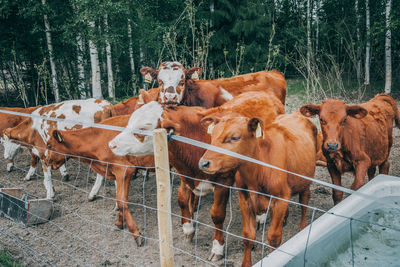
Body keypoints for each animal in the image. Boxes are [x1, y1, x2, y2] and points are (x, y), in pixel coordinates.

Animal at [44, 115, 154, 247]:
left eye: (49, 146)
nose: (45, 160)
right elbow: (122, 199)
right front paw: (119, 223)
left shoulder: (124, 169)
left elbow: (121, 201)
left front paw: (136, 234)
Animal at [198, 112, 318, 267]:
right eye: (212, 136)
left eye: (234, 137)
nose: (203, 163)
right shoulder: (245, 199)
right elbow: (248, 236)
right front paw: (246, 263)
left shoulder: (280, 199)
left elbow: (274, 237)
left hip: (305, 181)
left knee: (304, 200)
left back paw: (303, 226)